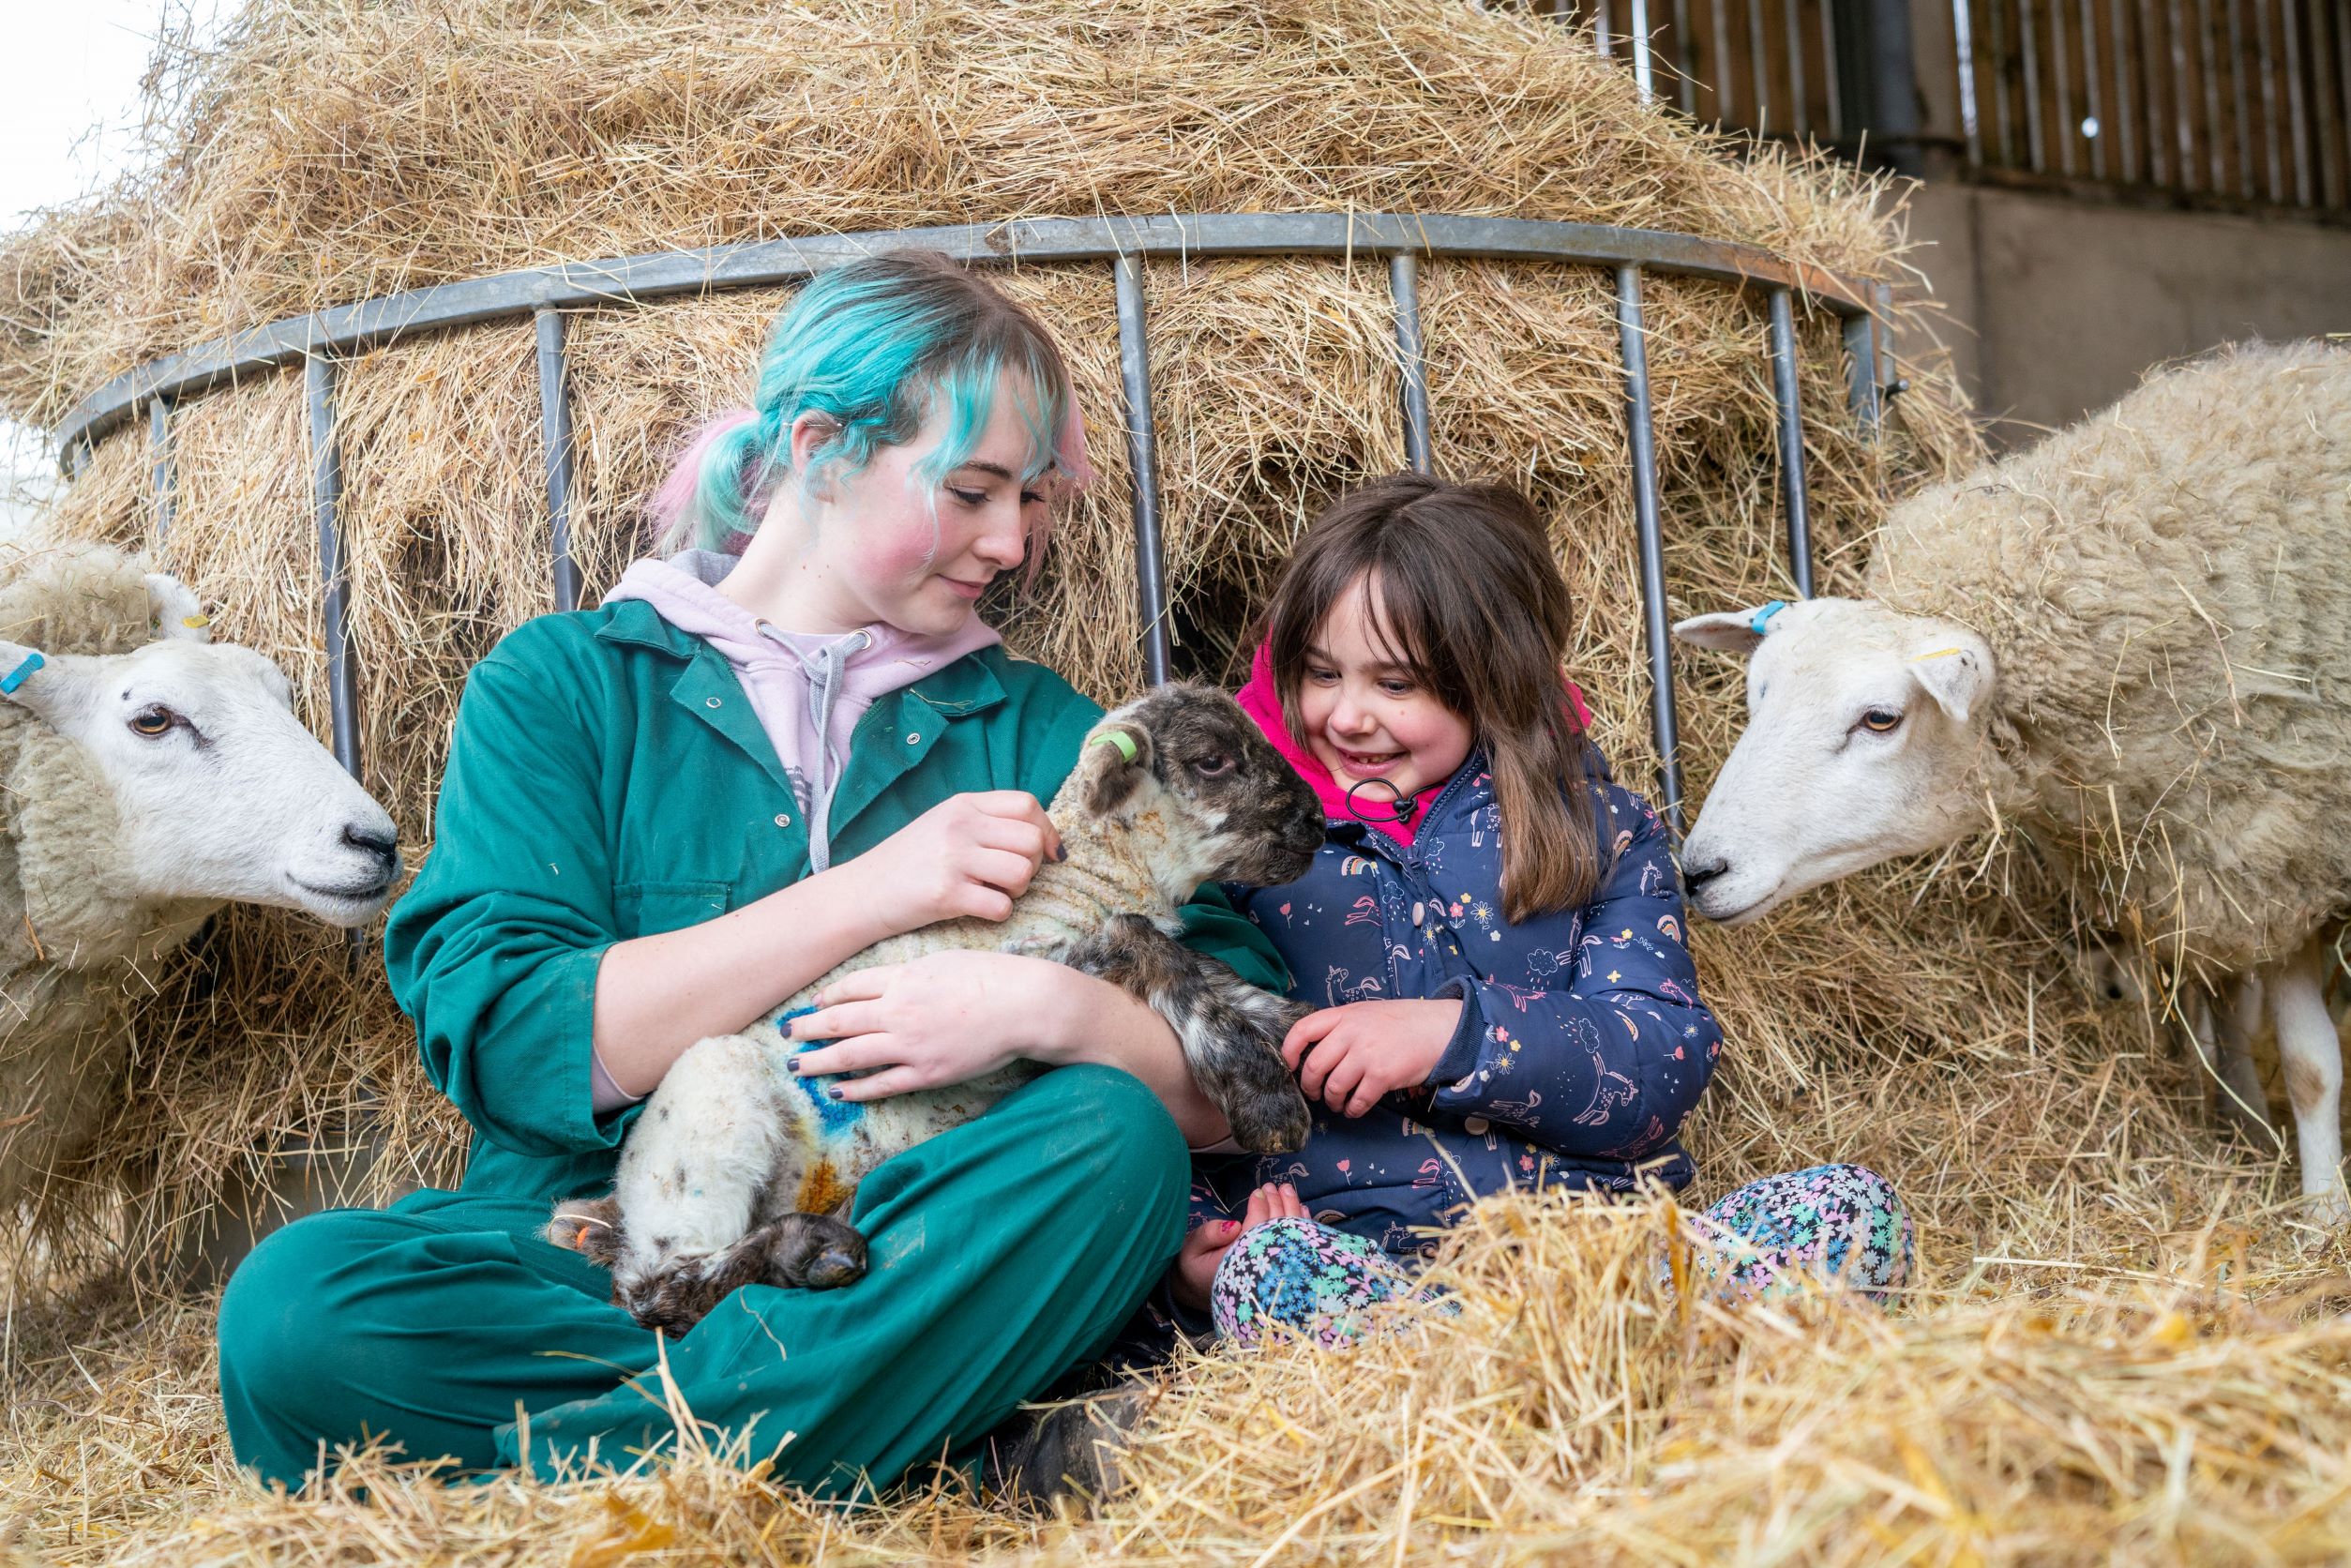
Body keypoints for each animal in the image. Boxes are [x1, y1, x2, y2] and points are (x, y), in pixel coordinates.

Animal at [550, 681, 1325, 1334]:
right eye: (1213, 760)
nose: (1317, 822)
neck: (1089, 874)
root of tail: (614, 1214)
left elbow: (1218, 974)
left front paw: (1301, 1032)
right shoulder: (1037, 957)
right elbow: (1148, 946)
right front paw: (1266, 1102)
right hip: (707, 1114)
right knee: (657, 1290)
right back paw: (809, 1252)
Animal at [1673, 340, 2351, 1222]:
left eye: (1880, 718)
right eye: (1756, 693)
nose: (1697, 871)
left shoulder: (2286, 855)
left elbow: (2310, 1067)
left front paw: (2321, 1219)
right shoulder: (2230, 861)